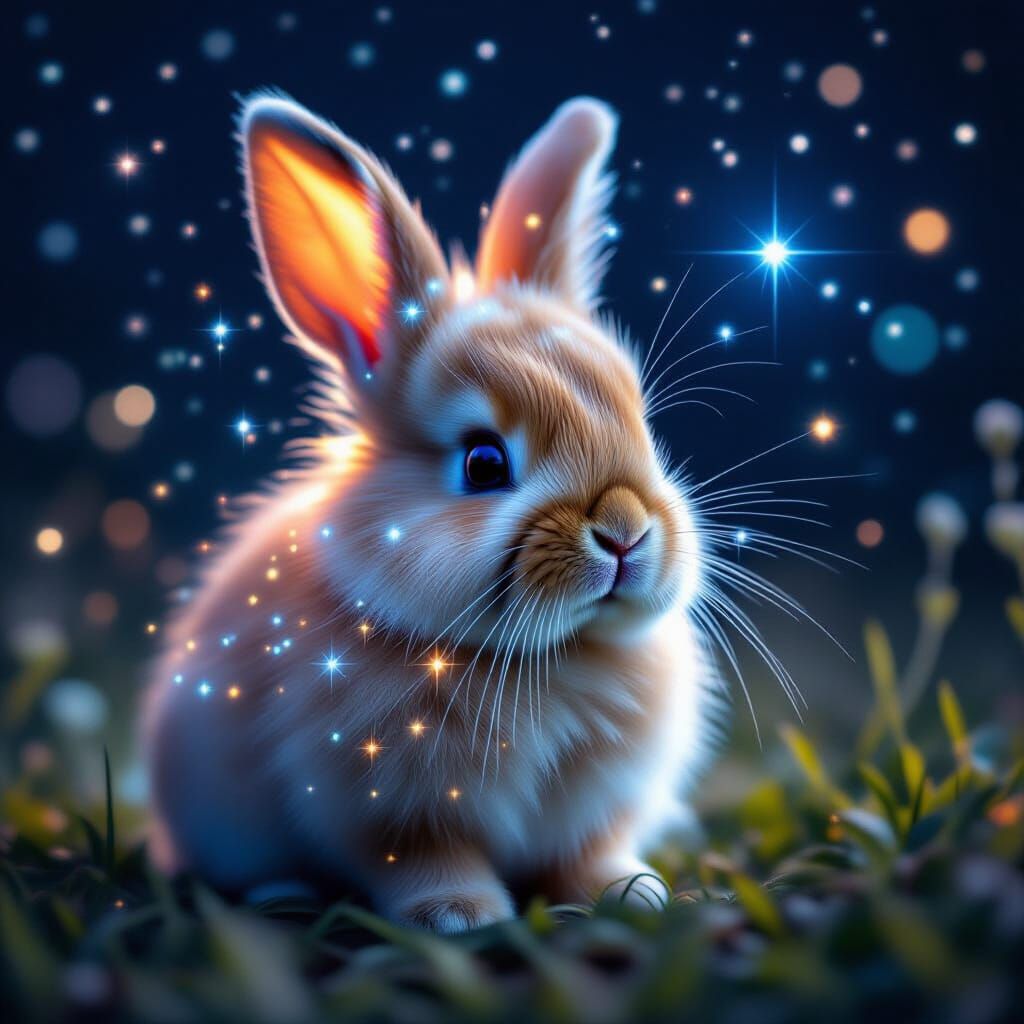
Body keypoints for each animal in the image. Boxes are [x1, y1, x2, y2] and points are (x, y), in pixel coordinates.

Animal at [142, 93, 722, 933]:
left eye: (642, 426)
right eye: (484, 463)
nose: (625, 533)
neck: (547, 658)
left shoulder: (594, 814)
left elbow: (589, 854)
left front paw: (633, 893)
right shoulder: (390, 815)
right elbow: (422, 861)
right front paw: (460, 915)